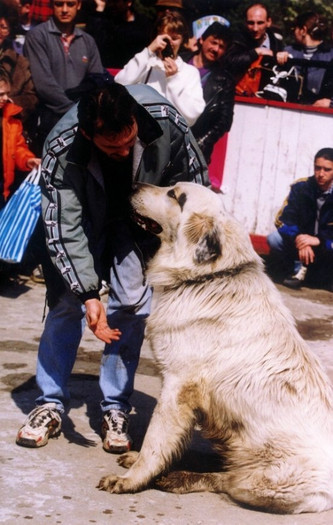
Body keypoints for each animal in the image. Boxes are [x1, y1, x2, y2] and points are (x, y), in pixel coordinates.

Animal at [98, 182, 332, 512]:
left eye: (175, 195)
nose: (133, 184)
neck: (208, 277)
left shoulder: (176, 388)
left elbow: (156, 440)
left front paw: (132, 480)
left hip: (260, 480)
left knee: (228, 480)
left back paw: (179, 478)